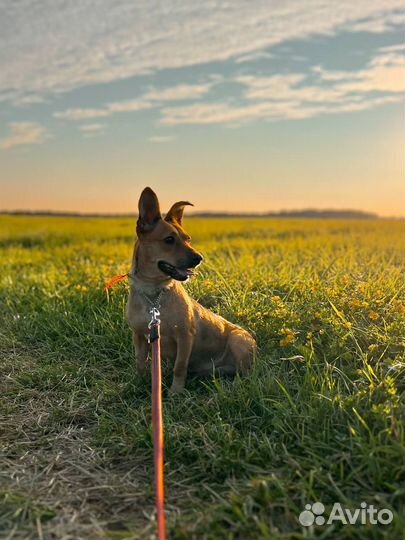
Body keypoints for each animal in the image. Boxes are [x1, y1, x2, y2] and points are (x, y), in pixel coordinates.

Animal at [125, 188, 256, 394]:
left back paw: (235, 387)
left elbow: (179, 367)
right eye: (169, 240)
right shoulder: (139, 336)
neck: (154, 293)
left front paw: (176, 391)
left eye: (188, 239)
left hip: (238, 341)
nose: (199, 258)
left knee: (246, 374)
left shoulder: (185, 336)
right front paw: (137, 383)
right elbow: (140, 363)